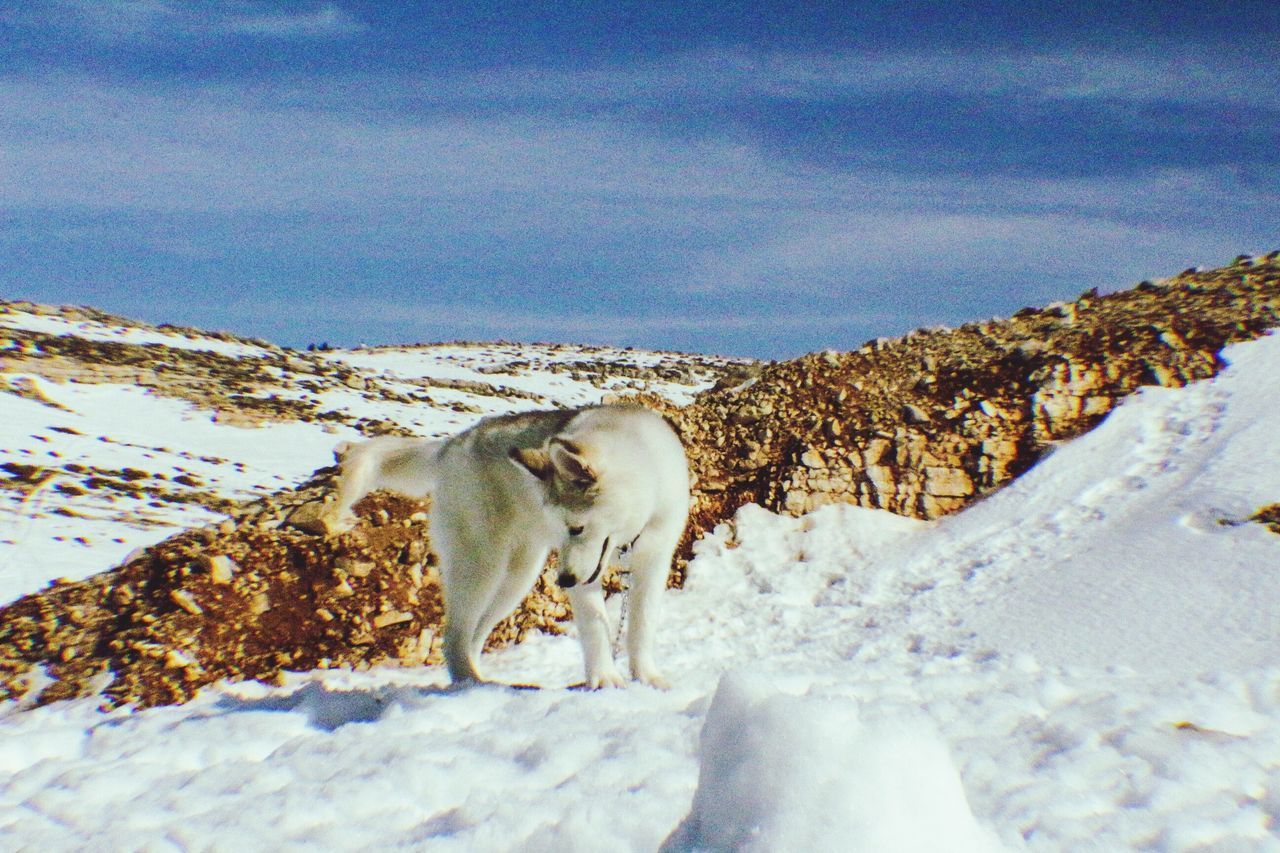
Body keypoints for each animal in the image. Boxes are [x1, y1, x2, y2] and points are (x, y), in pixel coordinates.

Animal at [330, 402, 691, 686]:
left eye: (576, 528)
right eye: (562, 529)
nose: (563, 581)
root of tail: (452, 445)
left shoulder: (653, 560)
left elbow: (642, 626)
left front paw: (646, 677)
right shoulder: (586, 575)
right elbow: (594, 626)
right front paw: (604, 679)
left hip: (517, 579)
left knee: (474, 636)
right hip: (481, 568)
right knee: (453, 637)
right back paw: (469, 683)